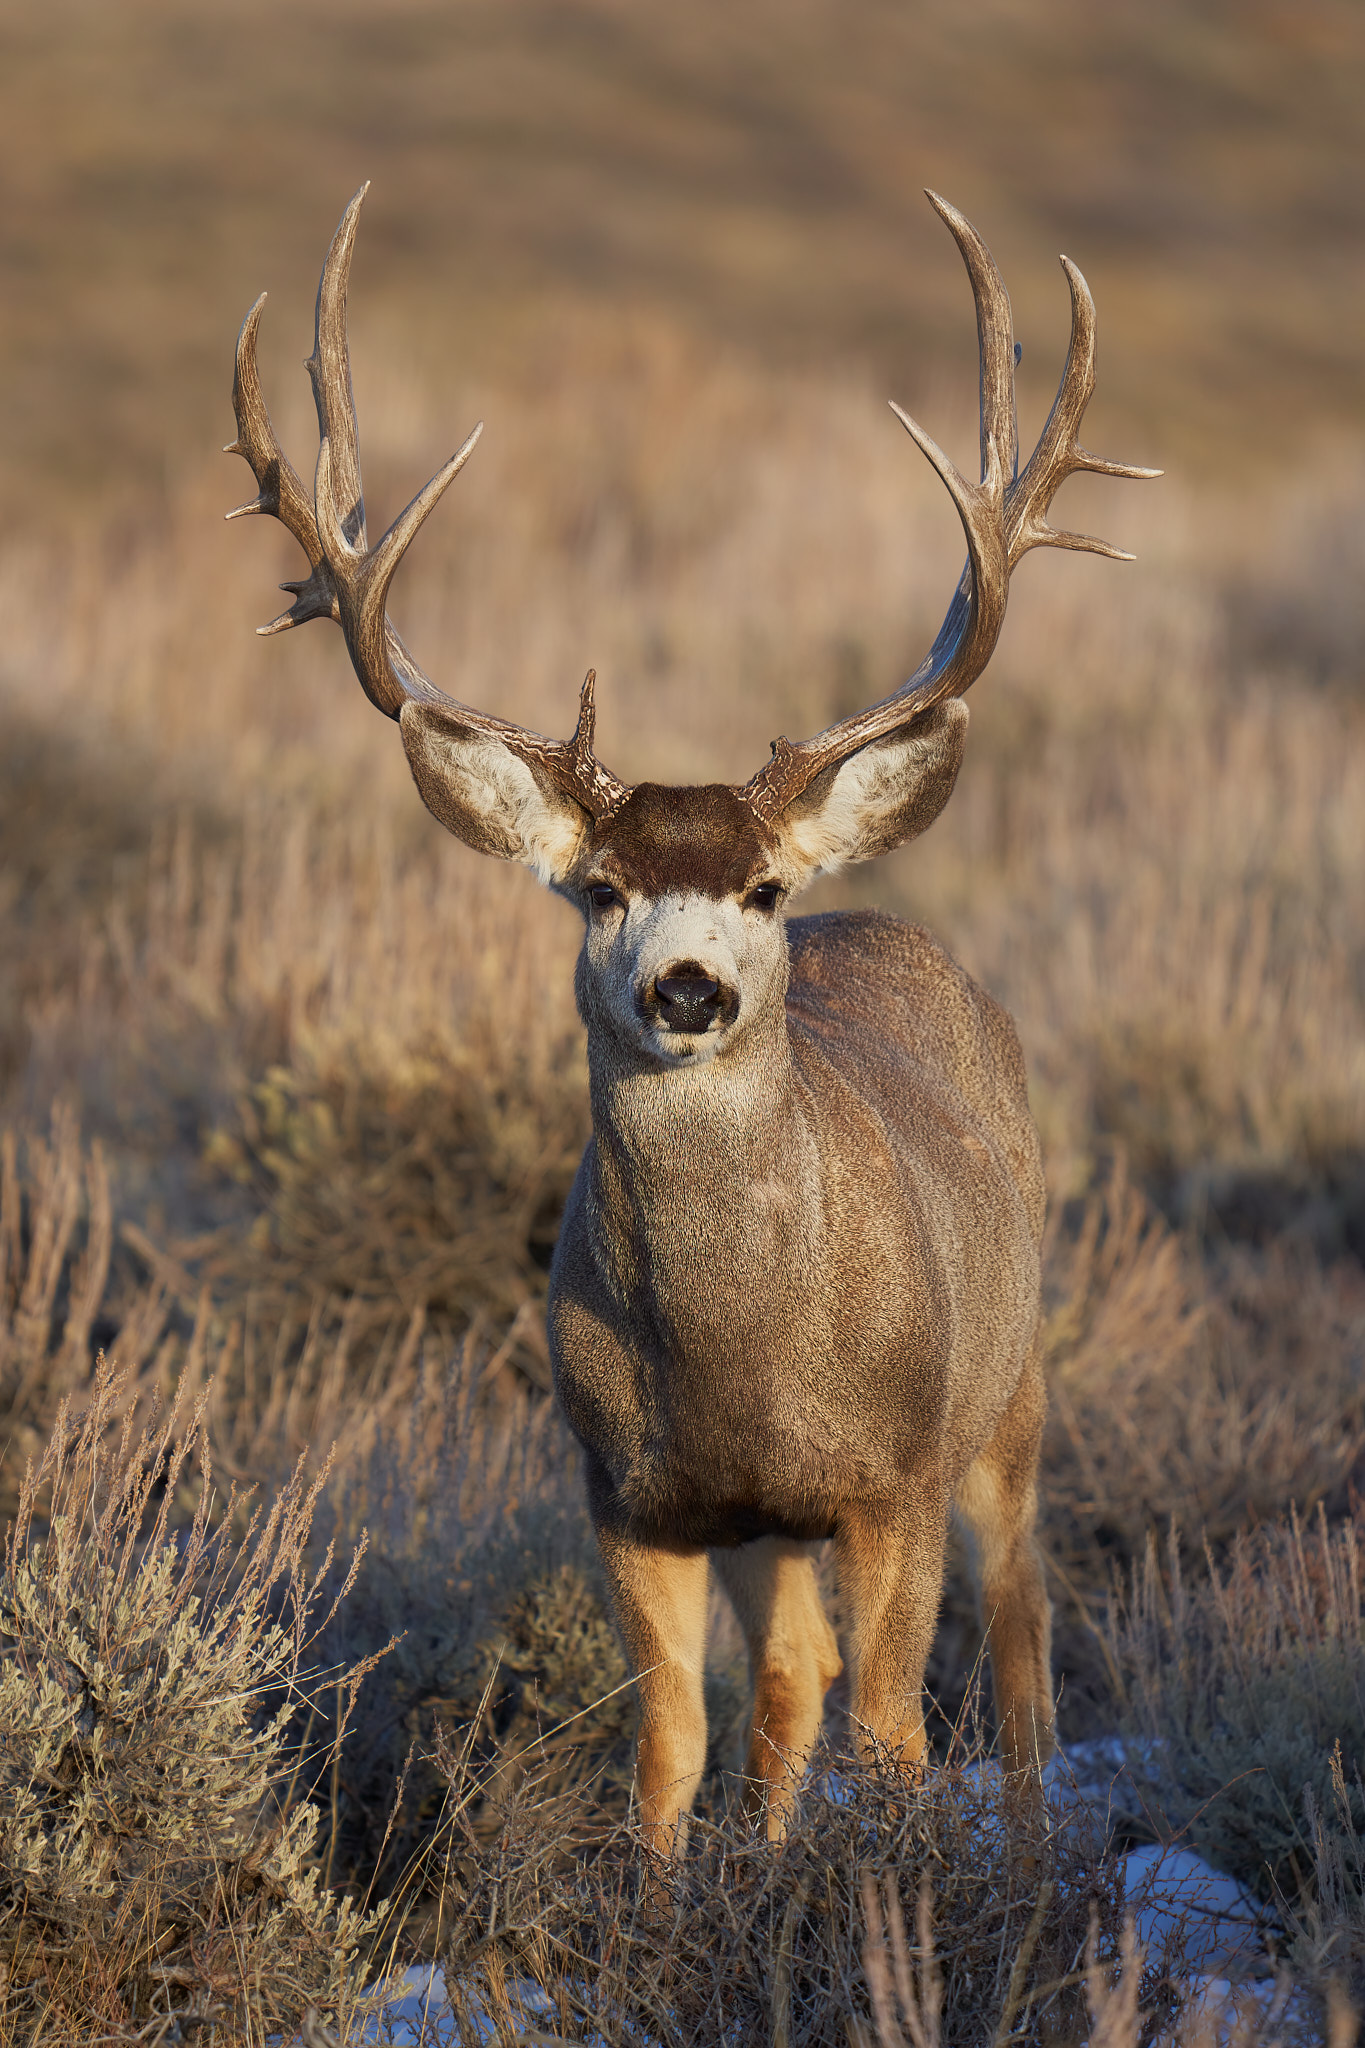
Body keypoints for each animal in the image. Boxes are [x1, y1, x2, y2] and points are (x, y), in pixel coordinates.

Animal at [227, 187, 1156, 1855]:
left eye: (765, 884)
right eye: (595, 888)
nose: (687, 985)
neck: (739, 1357)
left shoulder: (889, 1472)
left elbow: (894, 1729)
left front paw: (896, 1890)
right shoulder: (630, 1492)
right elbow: (673, 1740)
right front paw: (679, 1890)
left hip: (1011, 1390)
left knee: (1022, 1621)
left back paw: (1037, 1836)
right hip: (769, 1524)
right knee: (788, 1680)